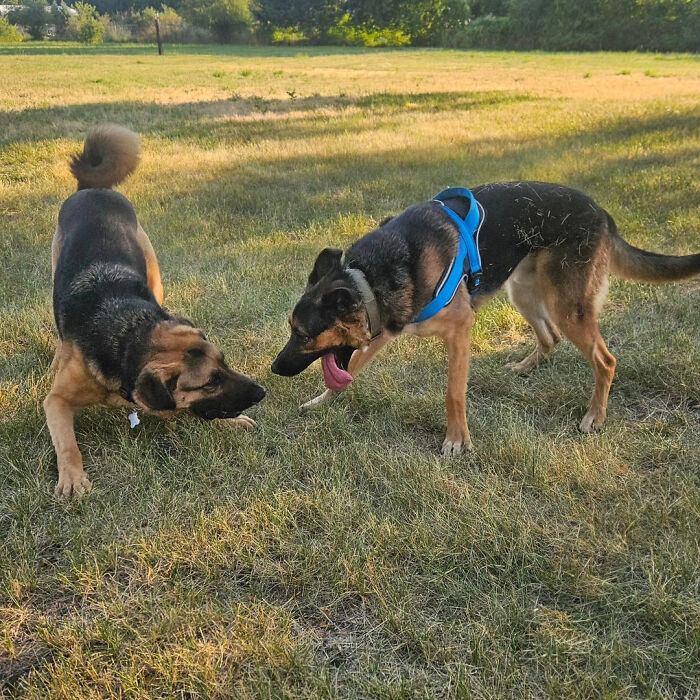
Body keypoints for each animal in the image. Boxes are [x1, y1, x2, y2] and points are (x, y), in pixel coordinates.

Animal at [46, 127, 266, 498]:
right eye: (210, 381)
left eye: (224, 362)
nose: (262, 392)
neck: (127, 336)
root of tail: (92, 188)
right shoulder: (56, 401)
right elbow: (67, 444)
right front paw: (72, 478)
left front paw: (232, 421)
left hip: (153, 270)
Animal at [272, 180, 700, 454]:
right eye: (292, 330)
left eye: (304, 335)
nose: (274, 369)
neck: (369, 279)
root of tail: (602, 214)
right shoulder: (385, 330)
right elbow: (354, 367)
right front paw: (320, 402)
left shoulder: (460, 329)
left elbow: (453, 392)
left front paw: (456, 440)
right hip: (523, 292)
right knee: (551, 338)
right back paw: (525, 367)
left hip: (567, 307)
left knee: (605, 360)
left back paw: (594, 417)